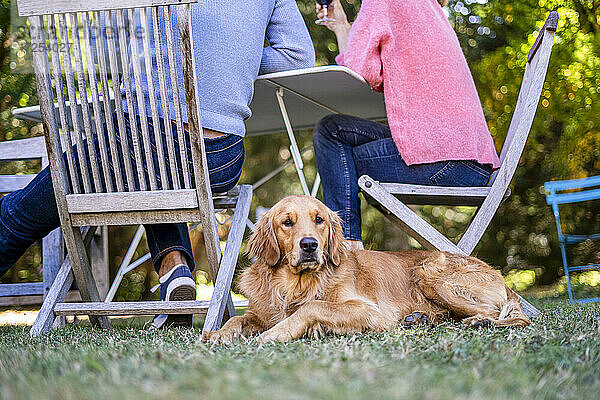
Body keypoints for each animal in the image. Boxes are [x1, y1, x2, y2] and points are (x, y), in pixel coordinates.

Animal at [203, 195, 528, 342]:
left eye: (319, 220)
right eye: (287, 222)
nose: (309, 245)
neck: (296, 284)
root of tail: (501, 277)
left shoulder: (370, 311)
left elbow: (312, 307)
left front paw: (272, 335)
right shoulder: (260, 312)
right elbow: (238, 319)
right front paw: (218, 334)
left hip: (432, 275)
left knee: (507, 316)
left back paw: (478, 322)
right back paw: (421, 318)